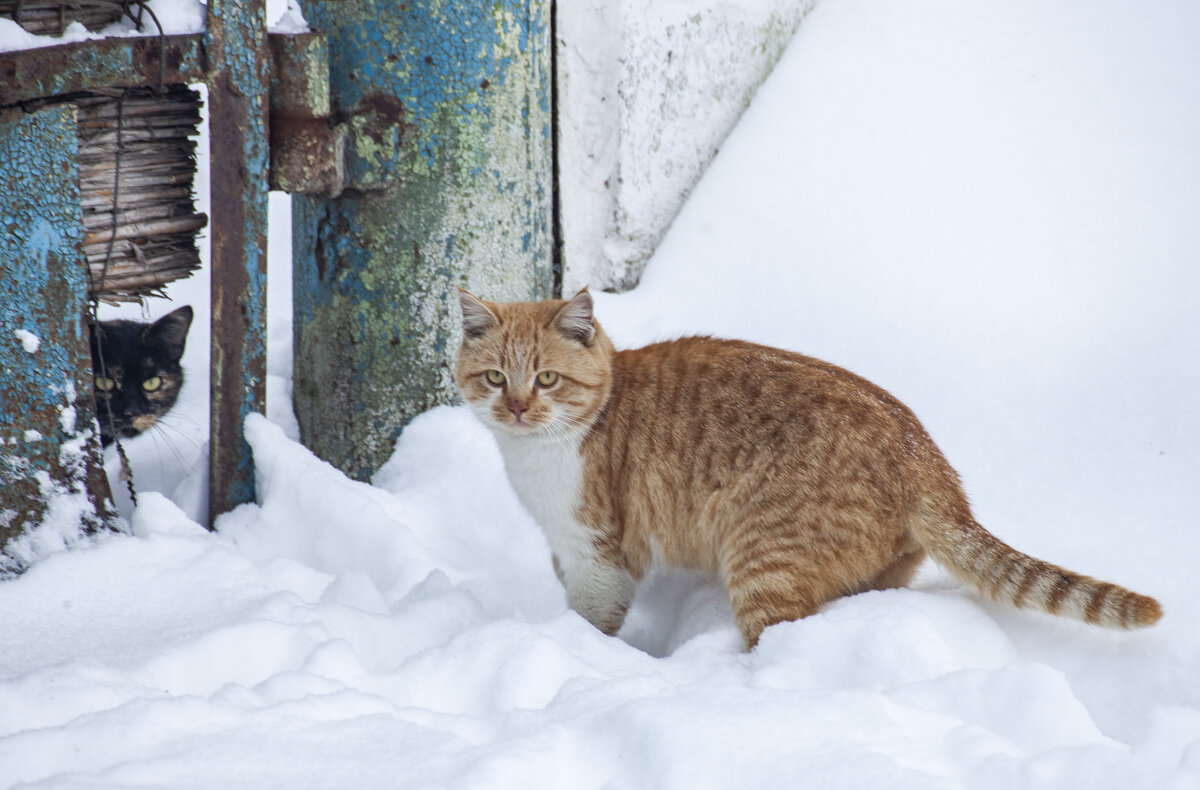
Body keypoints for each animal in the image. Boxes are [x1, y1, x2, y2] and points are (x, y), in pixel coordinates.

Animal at [456, 285, 1161, 643]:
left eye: (546, 379)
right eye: (495, 378)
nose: (517, 407)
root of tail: (927, 457)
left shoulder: (602, 553)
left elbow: (591, 618)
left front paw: (577, 655)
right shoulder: (569, 549)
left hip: (762, 559)